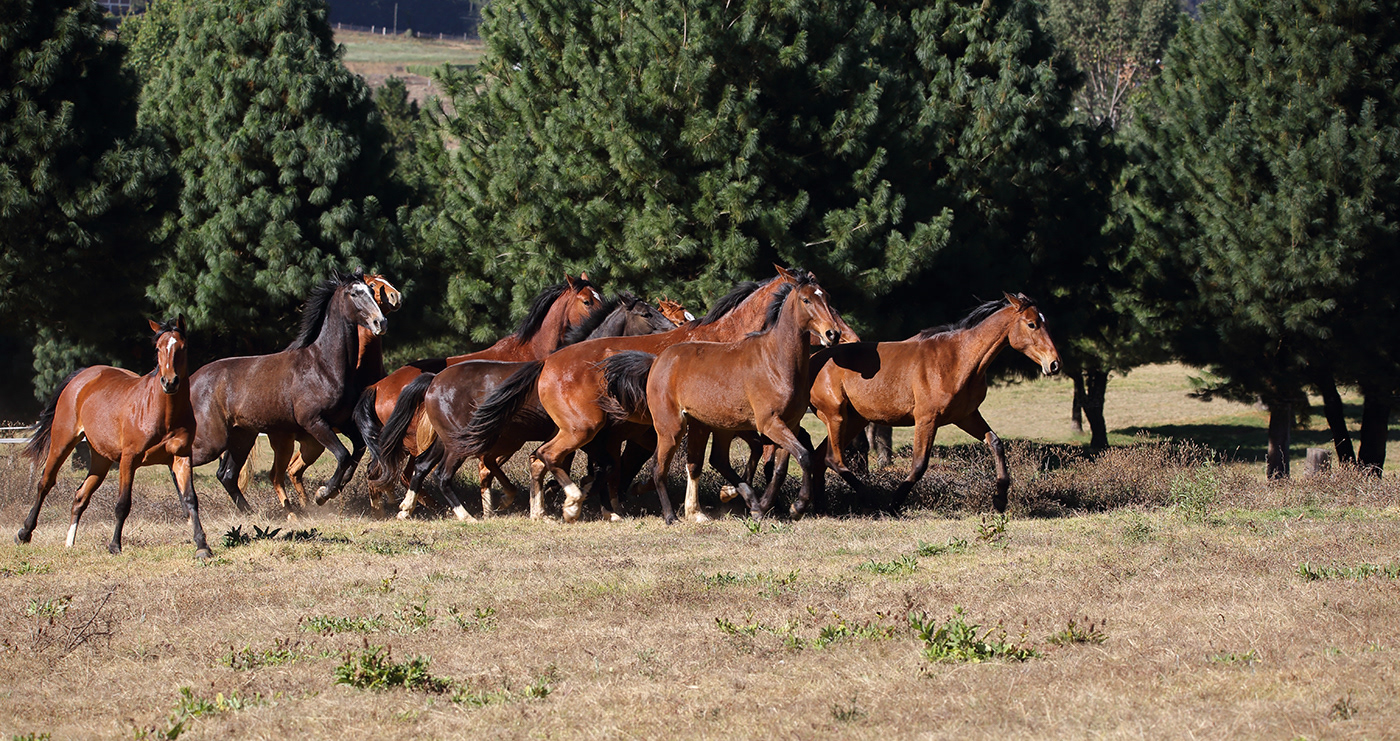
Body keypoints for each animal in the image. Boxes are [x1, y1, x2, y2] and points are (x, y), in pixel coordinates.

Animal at [15, 316, 210, 554]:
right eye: (158, 348)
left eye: (183, 347)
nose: (169, 382)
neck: (163, 412)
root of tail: (82, 376)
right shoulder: (129, 459)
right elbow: (123, 504)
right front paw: (115, 545)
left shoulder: (181, 457)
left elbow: (190, 499)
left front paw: (202, 546)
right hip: (62, 443)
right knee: (45, 483)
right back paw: (24, 533)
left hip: (101, 460)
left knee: (80, 496)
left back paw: (69, 542)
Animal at [187, 268, 389, 518]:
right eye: (354, 293)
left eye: (371, 291)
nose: (380, 322)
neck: (323, 366)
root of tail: (193, 380)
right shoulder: (314, 422)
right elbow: (343, 455)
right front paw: (323, 494)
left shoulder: (342, 422)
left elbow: (357, 448)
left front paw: (332, 490)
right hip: (212, 441)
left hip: (241, 437)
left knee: (227, 476)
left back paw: (253, 513)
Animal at [372, 291, 677, 518]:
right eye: (647, 314)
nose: (672, 329)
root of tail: (433, 380)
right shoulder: (589, 436)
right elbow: (587, 467)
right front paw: (574, 503)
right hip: (462, 443)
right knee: (441, 474)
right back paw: (466, 514)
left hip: (449, 440)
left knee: (423, 468)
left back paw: (407, 509)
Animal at [602, 268, 840, 523]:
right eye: (806, 300)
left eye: (827, 297)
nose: (833, 334)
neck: (776, 360)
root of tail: (656, 360)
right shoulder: (769, 423)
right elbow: (804, 456)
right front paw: (798, 505)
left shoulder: (791, 424)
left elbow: (781, 467)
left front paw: (766, 505)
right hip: (672, 427)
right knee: (659, 468)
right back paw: (670, 515)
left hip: (716, 425)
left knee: (717, 460)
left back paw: (747, 501)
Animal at [812, 291, 1058, 512]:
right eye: (1032, 324)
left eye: (1044, 322)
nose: (1054, 364)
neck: (958, 358)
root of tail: (814, 360)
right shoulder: (926, 419)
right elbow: (919, 464)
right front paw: (895, 503)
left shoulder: (967, 416)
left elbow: (996, 443)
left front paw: (1000, 499)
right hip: (836, 416)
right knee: (833, 459)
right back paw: (870, 498)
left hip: (853, 421)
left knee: (819, 457)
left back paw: (819, 504)